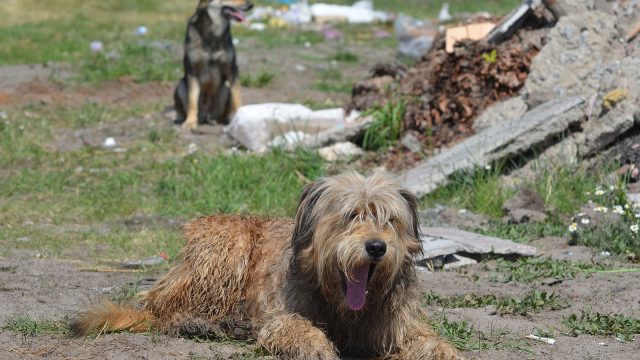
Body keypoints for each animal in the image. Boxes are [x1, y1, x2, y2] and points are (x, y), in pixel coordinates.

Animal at [72, 173, 462, 358]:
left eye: (389, 219)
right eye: (352, 215)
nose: (377, 247)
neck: (342, 307)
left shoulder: (394, 324)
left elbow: (425, 339)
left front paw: (441, 350)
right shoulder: (282, 314)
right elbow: (293, 327)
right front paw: (315, 346)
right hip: (228, 245)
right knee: (166, 309)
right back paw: (199, 323)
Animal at [176, 0, 256, 131]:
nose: (251, 5)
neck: (214, 32)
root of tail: (205, 116)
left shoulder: (232, 70)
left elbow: (236, 98)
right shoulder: (192, 71)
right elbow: (192, 101)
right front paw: (190, 122)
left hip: (225, 90)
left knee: (219, 114)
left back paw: (218, 120)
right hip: (181, 85)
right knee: (183, 108)